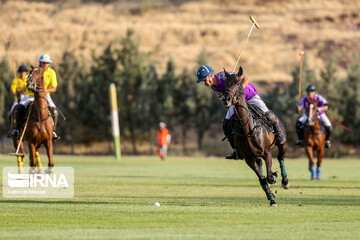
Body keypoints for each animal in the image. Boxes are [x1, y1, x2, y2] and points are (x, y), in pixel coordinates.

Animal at [222, 66, 290, 207]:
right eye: (225, 84)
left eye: (238, 83)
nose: (227, 99)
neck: (246, 127)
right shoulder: (249, 158)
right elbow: (263, 179)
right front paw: (272, 199)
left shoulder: (267, 152)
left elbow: (269, 176)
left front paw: (275, 176)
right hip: (256, 156)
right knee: (262, 170)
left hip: (282, 143)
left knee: (281, 156)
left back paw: (285, 182)